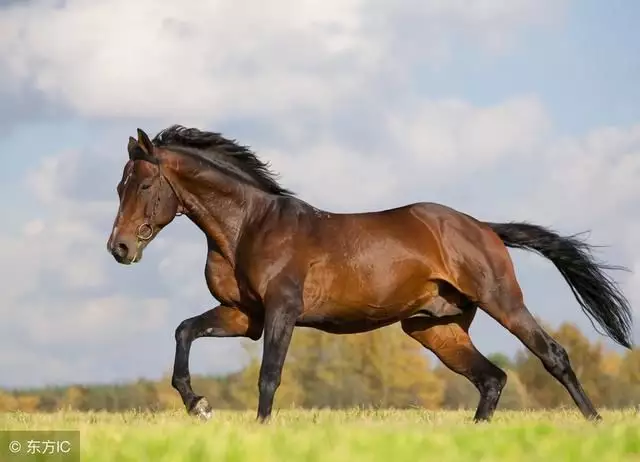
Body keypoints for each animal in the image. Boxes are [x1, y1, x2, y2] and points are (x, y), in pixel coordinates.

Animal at [107, 125, 632, 422]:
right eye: (118, 186)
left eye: (145, 185)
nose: (120, 248)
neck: (248, 227)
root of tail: (483, 227)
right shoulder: (244, 316)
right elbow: (184, 332)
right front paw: (198, 405)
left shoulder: (281, 311)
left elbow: (269, 376)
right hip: (433, 328)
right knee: (491, 379)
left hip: (502, 301)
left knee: (552, 356)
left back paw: (594, 423)